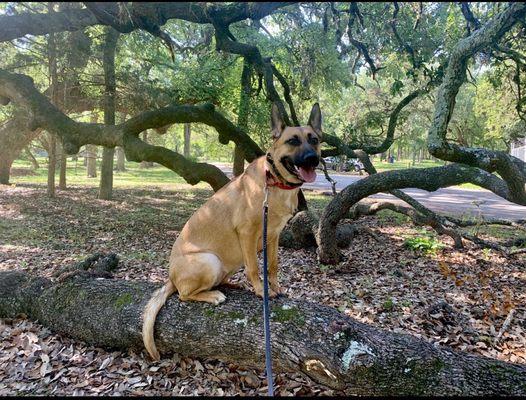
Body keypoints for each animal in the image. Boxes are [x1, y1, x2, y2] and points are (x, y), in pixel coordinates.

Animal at [144, 102, 326, 360]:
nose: (312, 159)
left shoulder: (273, 236)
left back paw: (229, 285)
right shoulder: (248, 233)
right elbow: (254, 268)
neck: (274, 182)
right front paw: (261, 291)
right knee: (183, 294)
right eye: (293, 141)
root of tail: (171, 277)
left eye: (314, 140)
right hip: (210, 260)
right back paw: (213, 295)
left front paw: (275, 287)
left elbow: (272, 266)